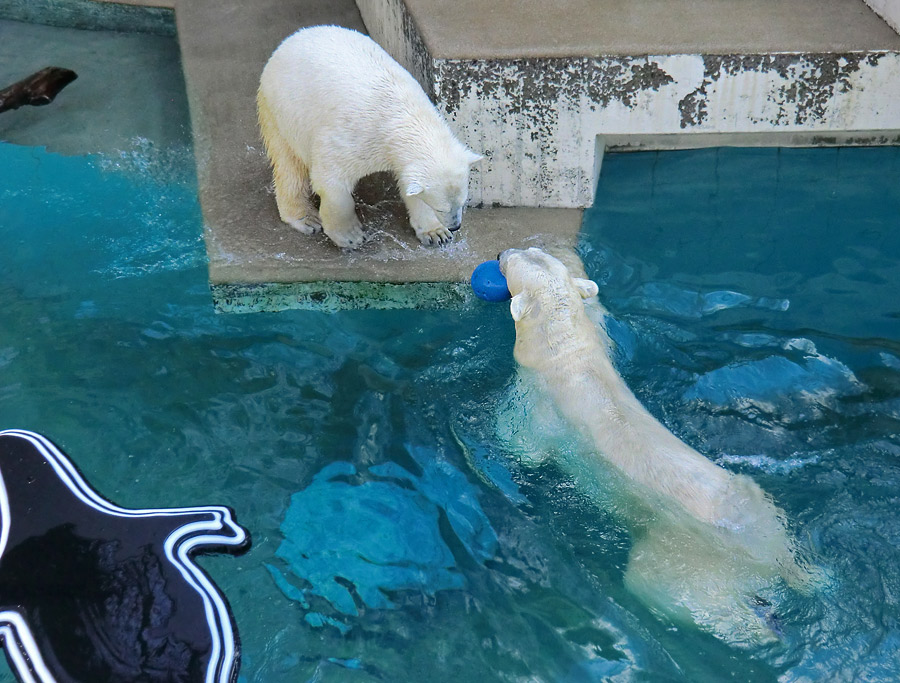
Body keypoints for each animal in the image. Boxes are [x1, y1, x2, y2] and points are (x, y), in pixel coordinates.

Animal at [256, 28, 482, 251]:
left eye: (462, 202)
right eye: (441, 207)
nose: (455, 226)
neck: (404, 115)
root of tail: (289, 41)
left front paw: (436, 233)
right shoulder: (355, 136)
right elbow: (332, 180)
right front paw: (350, 237)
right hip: (283, 111)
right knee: (289, 164)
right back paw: (306, 218)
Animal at [500, 247, 824, 648]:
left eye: (513, 262)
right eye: (532, 252)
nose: (502, 252)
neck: (566, 350)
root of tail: (765, 552)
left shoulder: (538, 399)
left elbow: (523, 443)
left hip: (683, 556)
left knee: (662, 587)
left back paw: (764, 628)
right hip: (767, 514)